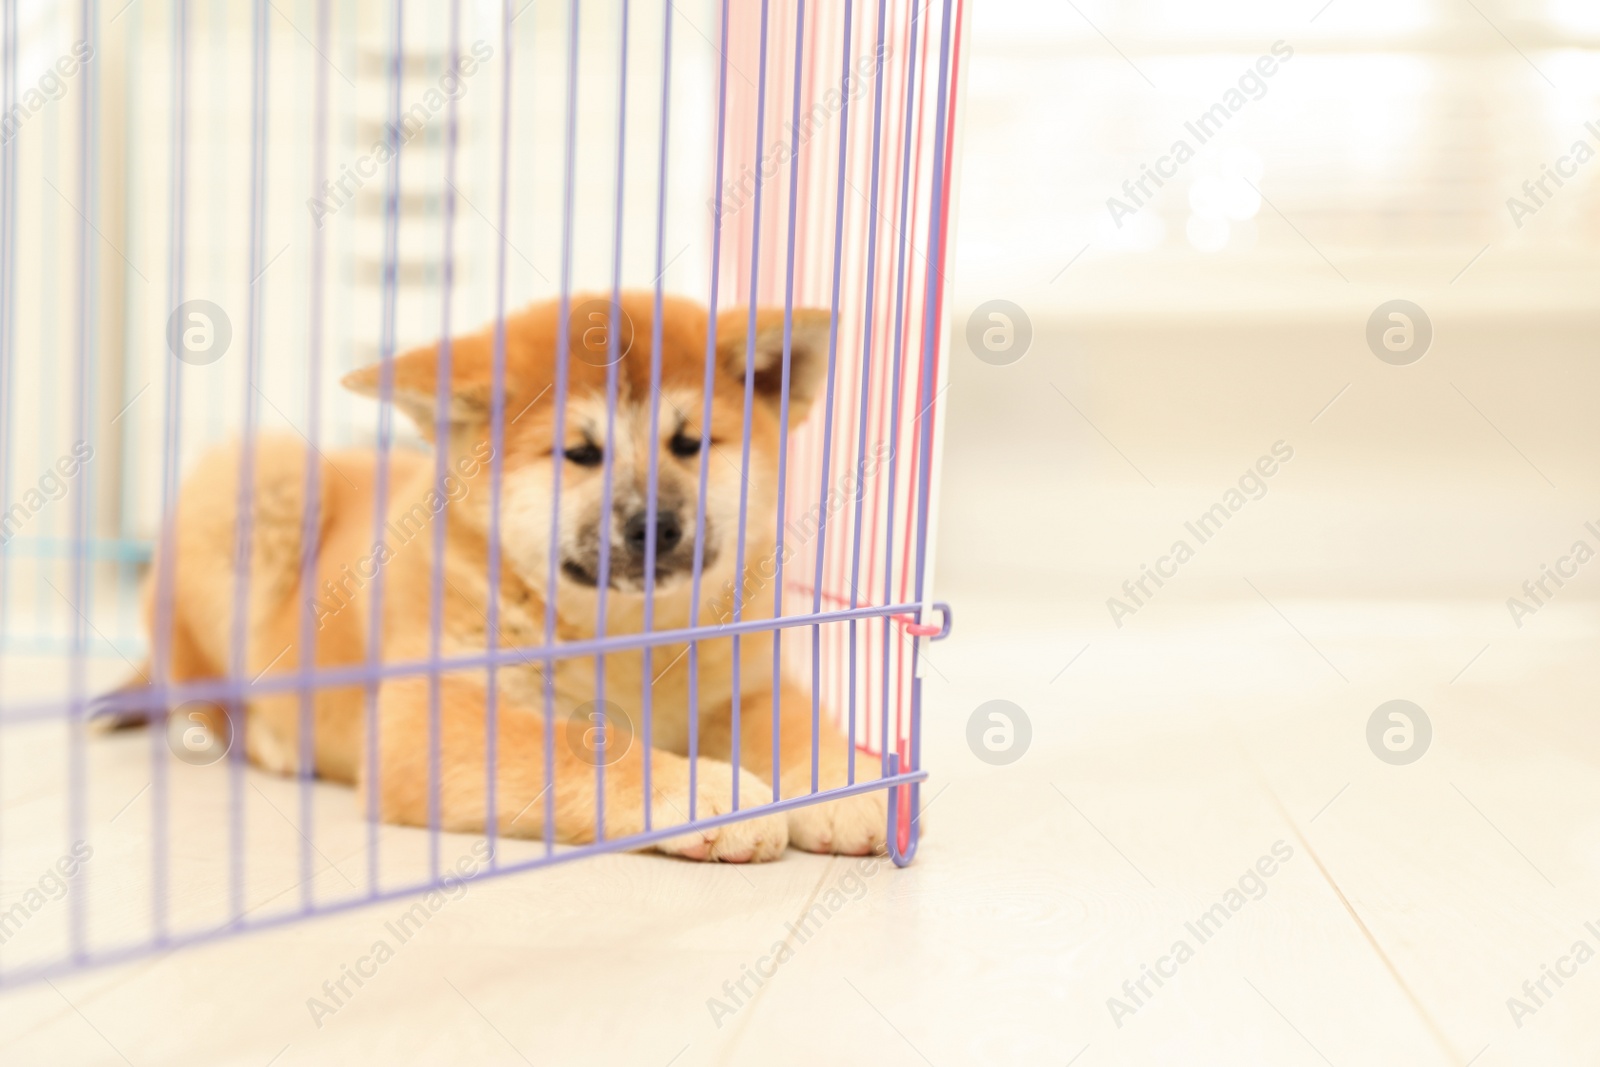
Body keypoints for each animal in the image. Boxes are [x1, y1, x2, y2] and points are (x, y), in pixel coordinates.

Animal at [111, 295, 889, 863]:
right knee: (206, 699)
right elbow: (586, 750)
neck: (631, 641)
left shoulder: (746, 686)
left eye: (690, 443)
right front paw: (704, 788)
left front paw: (842, 784)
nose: (654, 526)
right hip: (255, 486)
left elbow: (797, 728)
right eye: (580, 453)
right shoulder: (431, 710)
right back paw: (271, 738)